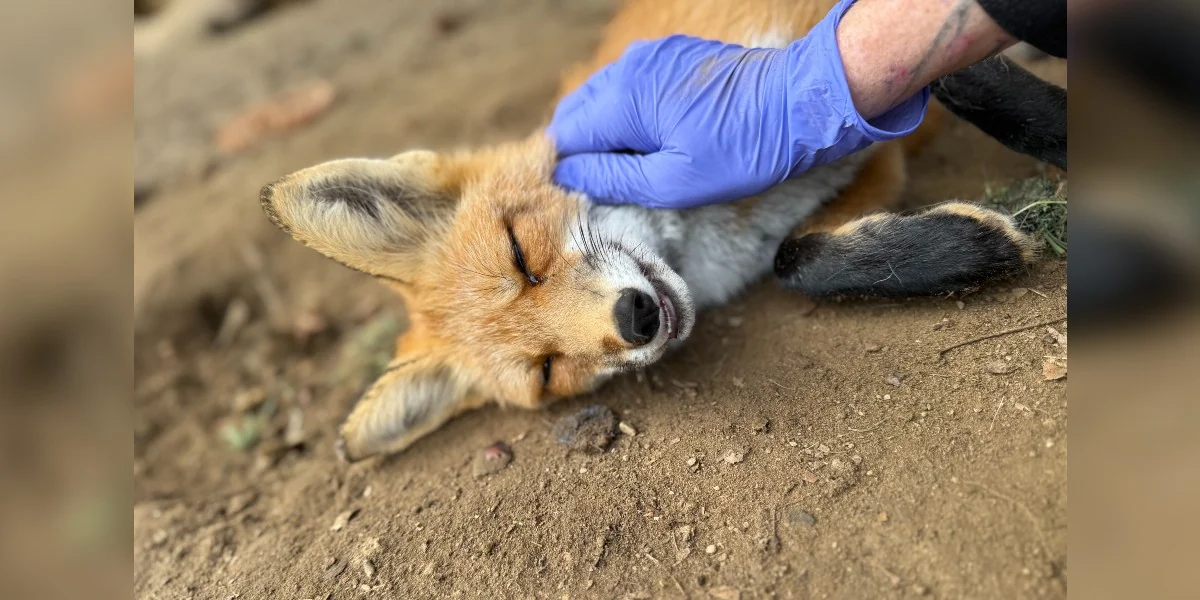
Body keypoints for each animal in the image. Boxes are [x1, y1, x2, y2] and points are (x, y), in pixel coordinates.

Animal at [259, 0, 1036, 462]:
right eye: (548, 371)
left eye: (520, 252)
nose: (633, 319)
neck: (705, 229)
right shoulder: (862, 148)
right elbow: (798, 256)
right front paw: (966, 248)